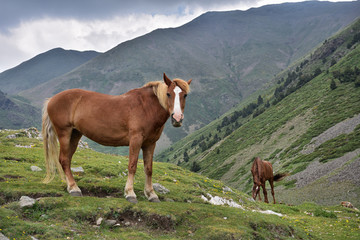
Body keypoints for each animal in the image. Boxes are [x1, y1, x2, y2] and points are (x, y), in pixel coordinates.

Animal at [42, 72, 191, 202]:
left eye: (185, 95)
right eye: (168, 94)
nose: (177, 118)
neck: (146, 107)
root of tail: (52, 99)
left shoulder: (150, 143)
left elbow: (148, 169)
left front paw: (151, 194)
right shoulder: (135, 140)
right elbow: (132, 165)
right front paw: (130, 193)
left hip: (75, 134)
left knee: (66, 159)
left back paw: (71, 187)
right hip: (64, 133)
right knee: (64, 160)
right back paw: (74, 189)